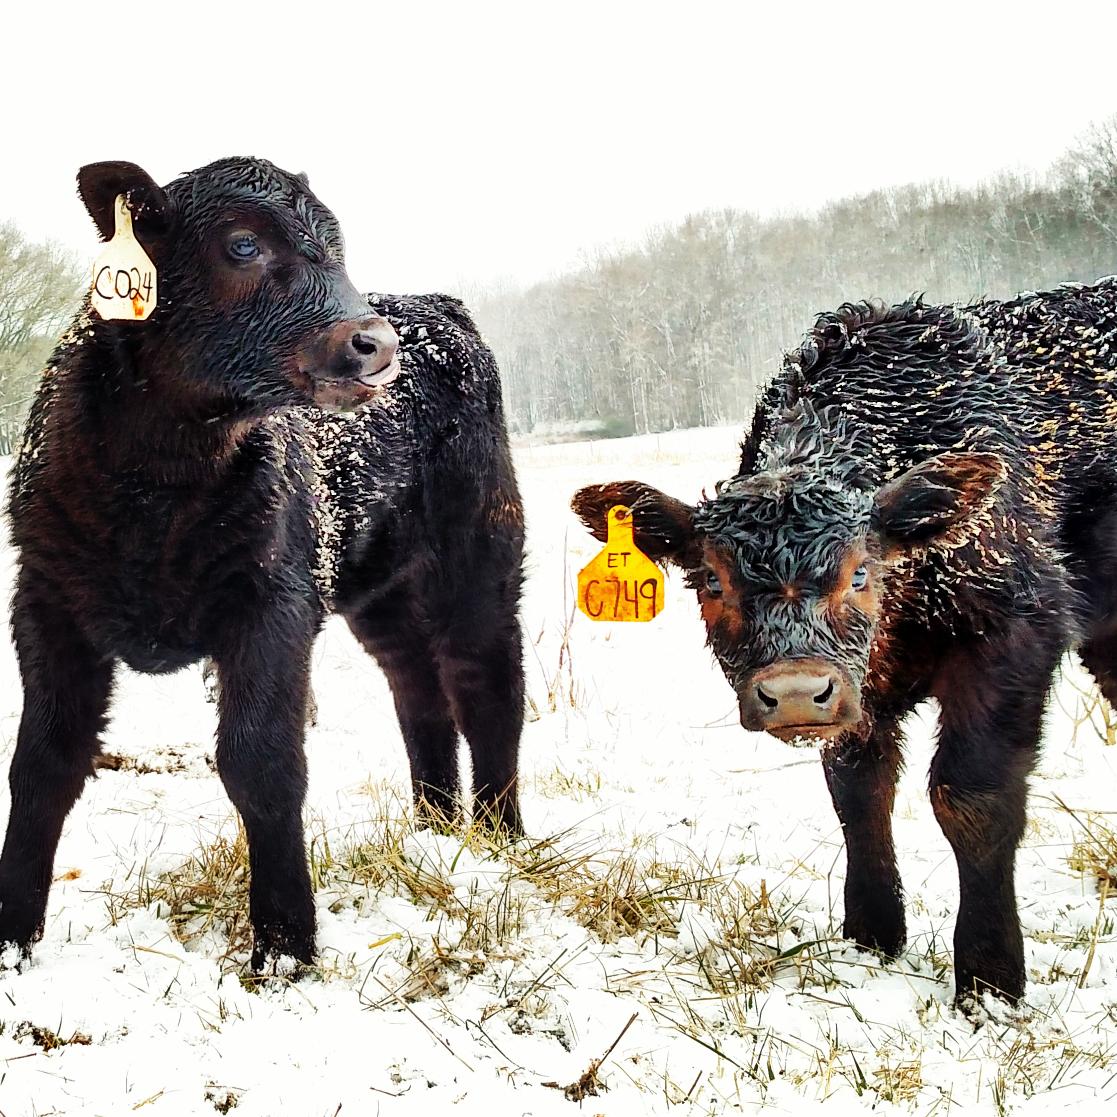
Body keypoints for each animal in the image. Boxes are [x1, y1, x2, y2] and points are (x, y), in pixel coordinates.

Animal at [0, 158, 525, 972]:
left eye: (336, 241)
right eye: (242, 244)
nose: (374, 343)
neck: (160, 477)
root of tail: (431, 303)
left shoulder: (270, 602)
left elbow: (262, 761)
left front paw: (284, 949)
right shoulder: (45, 600)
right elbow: (42, 763)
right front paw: (12, 943)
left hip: (480, 547)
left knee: (487, 683)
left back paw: (499, 840)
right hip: (376, 587)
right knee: (418, 690)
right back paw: (432, 830)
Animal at [572, 287, 1117, 1007]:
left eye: (860, 572)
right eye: (712, 579)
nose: (797, 692)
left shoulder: (1012, 638)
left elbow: (969, 796)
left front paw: (989, 979)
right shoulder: (859, 701)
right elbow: (858, 792)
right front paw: (871, 935)